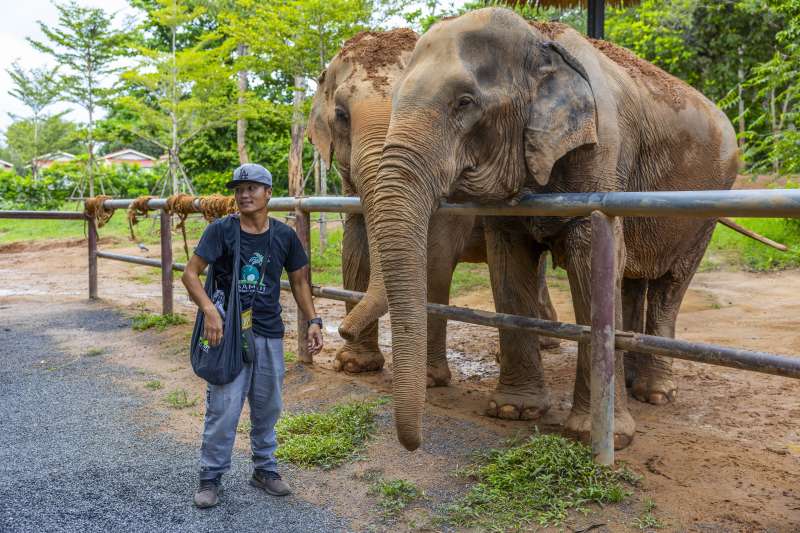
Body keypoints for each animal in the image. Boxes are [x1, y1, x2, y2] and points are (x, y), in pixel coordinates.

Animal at [307, 28, 560, 411]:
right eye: (341, 114)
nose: (342, 328)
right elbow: (354, 248)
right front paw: (353, 365)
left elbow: (436, 254)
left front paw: (428, 380)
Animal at [363, 8, 740, 451]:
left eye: (465, 102)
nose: (415, 443)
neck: (537, 39)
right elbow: (509, 265)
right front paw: (514, 411)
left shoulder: (601, 149)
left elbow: (593, 260)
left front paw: (599, 437)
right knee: (632, 277)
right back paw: (631, 382)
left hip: (707, 209)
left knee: (670, 283)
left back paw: (656, 393)